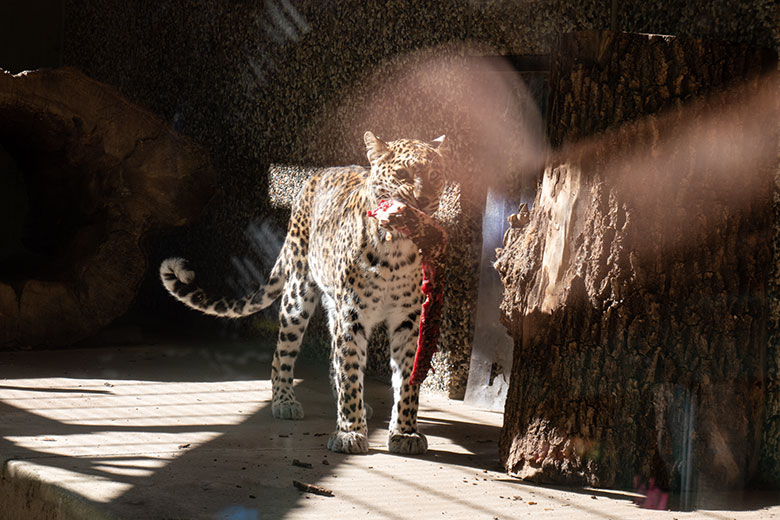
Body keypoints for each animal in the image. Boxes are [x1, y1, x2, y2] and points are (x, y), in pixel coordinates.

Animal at [159, 132, 448, 452]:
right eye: (402, 174)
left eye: (435, 176)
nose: (424, 199)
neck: (395, 246)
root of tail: (318, 173)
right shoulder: (353, 314)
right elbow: (350, 371)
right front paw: (349, 432)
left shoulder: (407, 320)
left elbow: (407, 380)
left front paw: (405, 432)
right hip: (298, 294)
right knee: (284, 354)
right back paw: (285, 401)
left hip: (334, 305)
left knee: (335, 355)